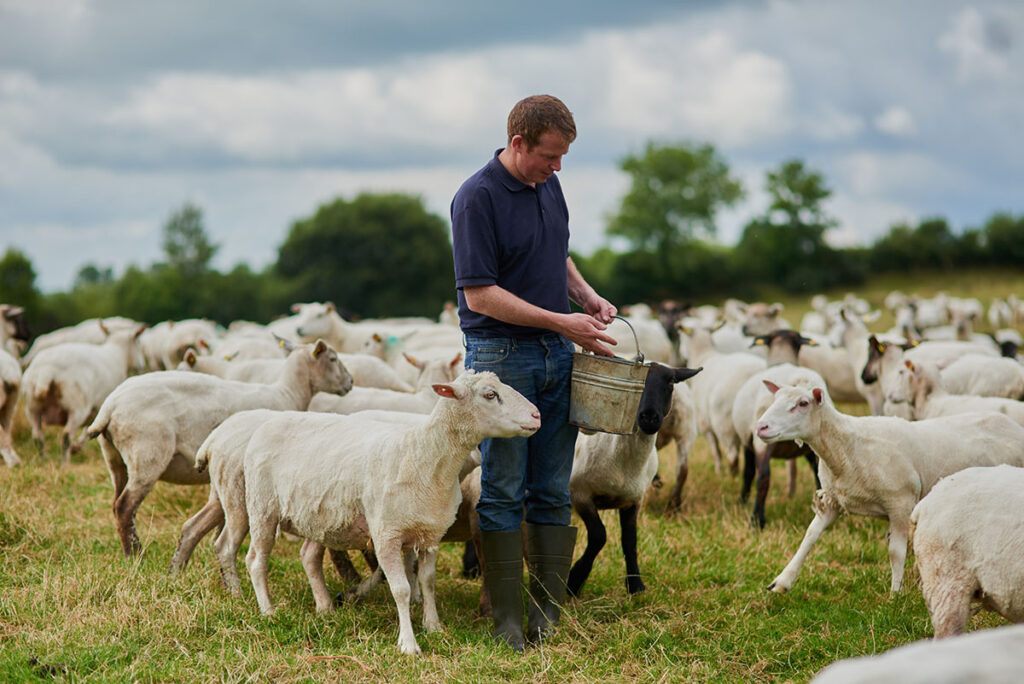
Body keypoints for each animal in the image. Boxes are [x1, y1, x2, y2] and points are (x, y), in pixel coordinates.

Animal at [21, 321, 146, 462]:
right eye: (138, 342)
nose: (142, 365)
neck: (118, 353)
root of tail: (47, 370)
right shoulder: (99, 407)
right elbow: (89, 429)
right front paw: (76, 447)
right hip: (76, 407)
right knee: (66, 436)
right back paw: (64, 462)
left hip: (32, 407)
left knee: (37, 436)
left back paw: (44, 459)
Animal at [81, 339, 352, 557]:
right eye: (333, 359)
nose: (350, 383)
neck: (288, 393)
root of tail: (110, 405)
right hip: (146, 455)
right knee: (125, 506)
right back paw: (134, 554)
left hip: (115, 459)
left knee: (118, 504)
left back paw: (130, 547)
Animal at [211, 370, 540, 655]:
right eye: (490, 394)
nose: (537, 415)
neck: (423, 455)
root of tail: (267, 423)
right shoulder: (386, 535)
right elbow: (401, 589)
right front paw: (408, 644)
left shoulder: (430, 534)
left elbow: (428, 582)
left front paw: (433, 626)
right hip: (262, 506)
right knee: (255, 560)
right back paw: (267, 610)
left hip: (318, 517)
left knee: (308, 556)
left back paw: (325, 607)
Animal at [749, 378, 1024, 593]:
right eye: (775, 399)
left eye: (803, 404)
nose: (760, 427)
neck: (848, 448)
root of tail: (1012, 426)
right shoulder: (833, 500)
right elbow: (809, 536)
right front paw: (782, 581)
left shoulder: (900, 502)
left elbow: (896, 551)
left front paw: (895, 594)